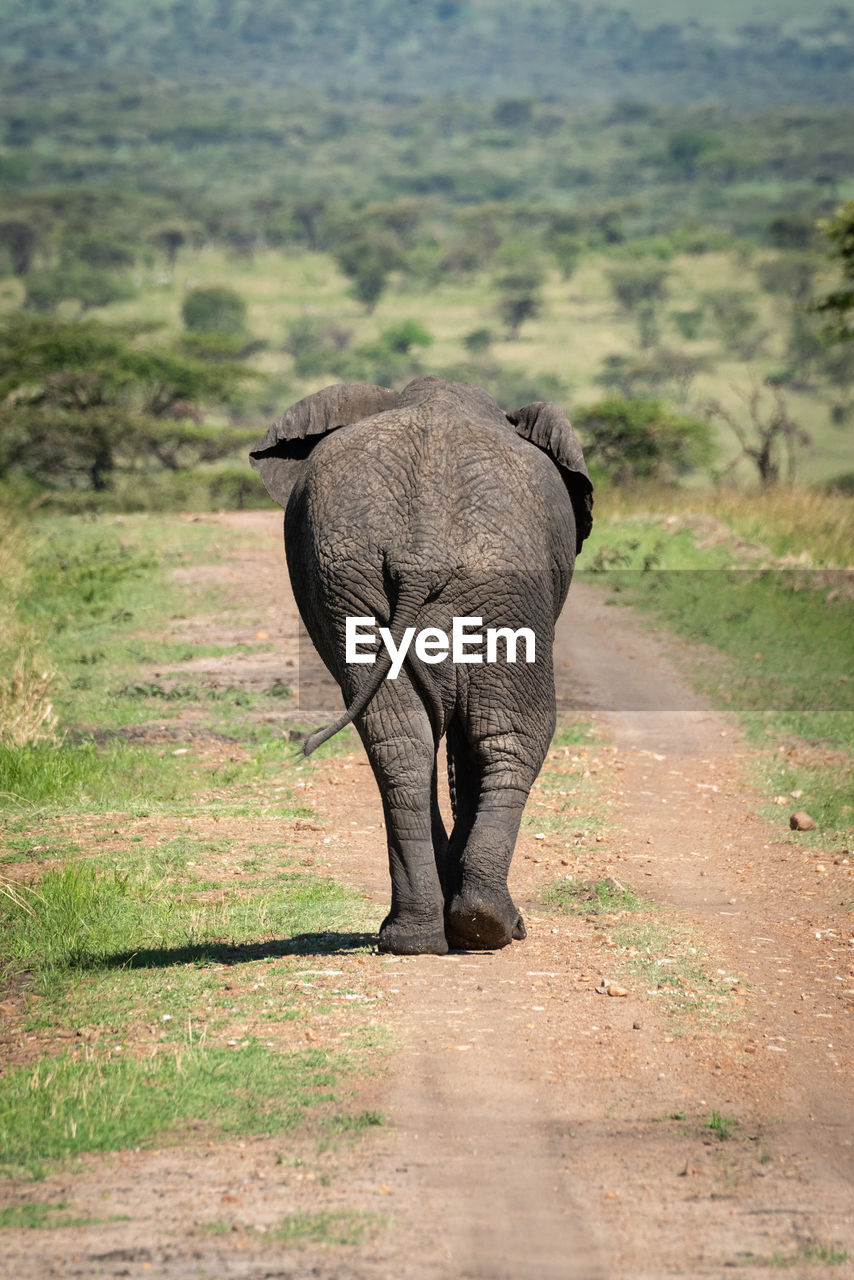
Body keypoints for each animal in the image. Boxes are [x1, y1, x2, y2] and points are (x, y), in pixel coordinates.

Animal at [250, 373, 591, 957]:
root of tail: (421, 550)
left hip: (365, 587)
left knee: (400, 739)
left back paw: (415, 937)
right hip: (500, 587)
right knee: (512, 733)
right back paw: (488, 928)